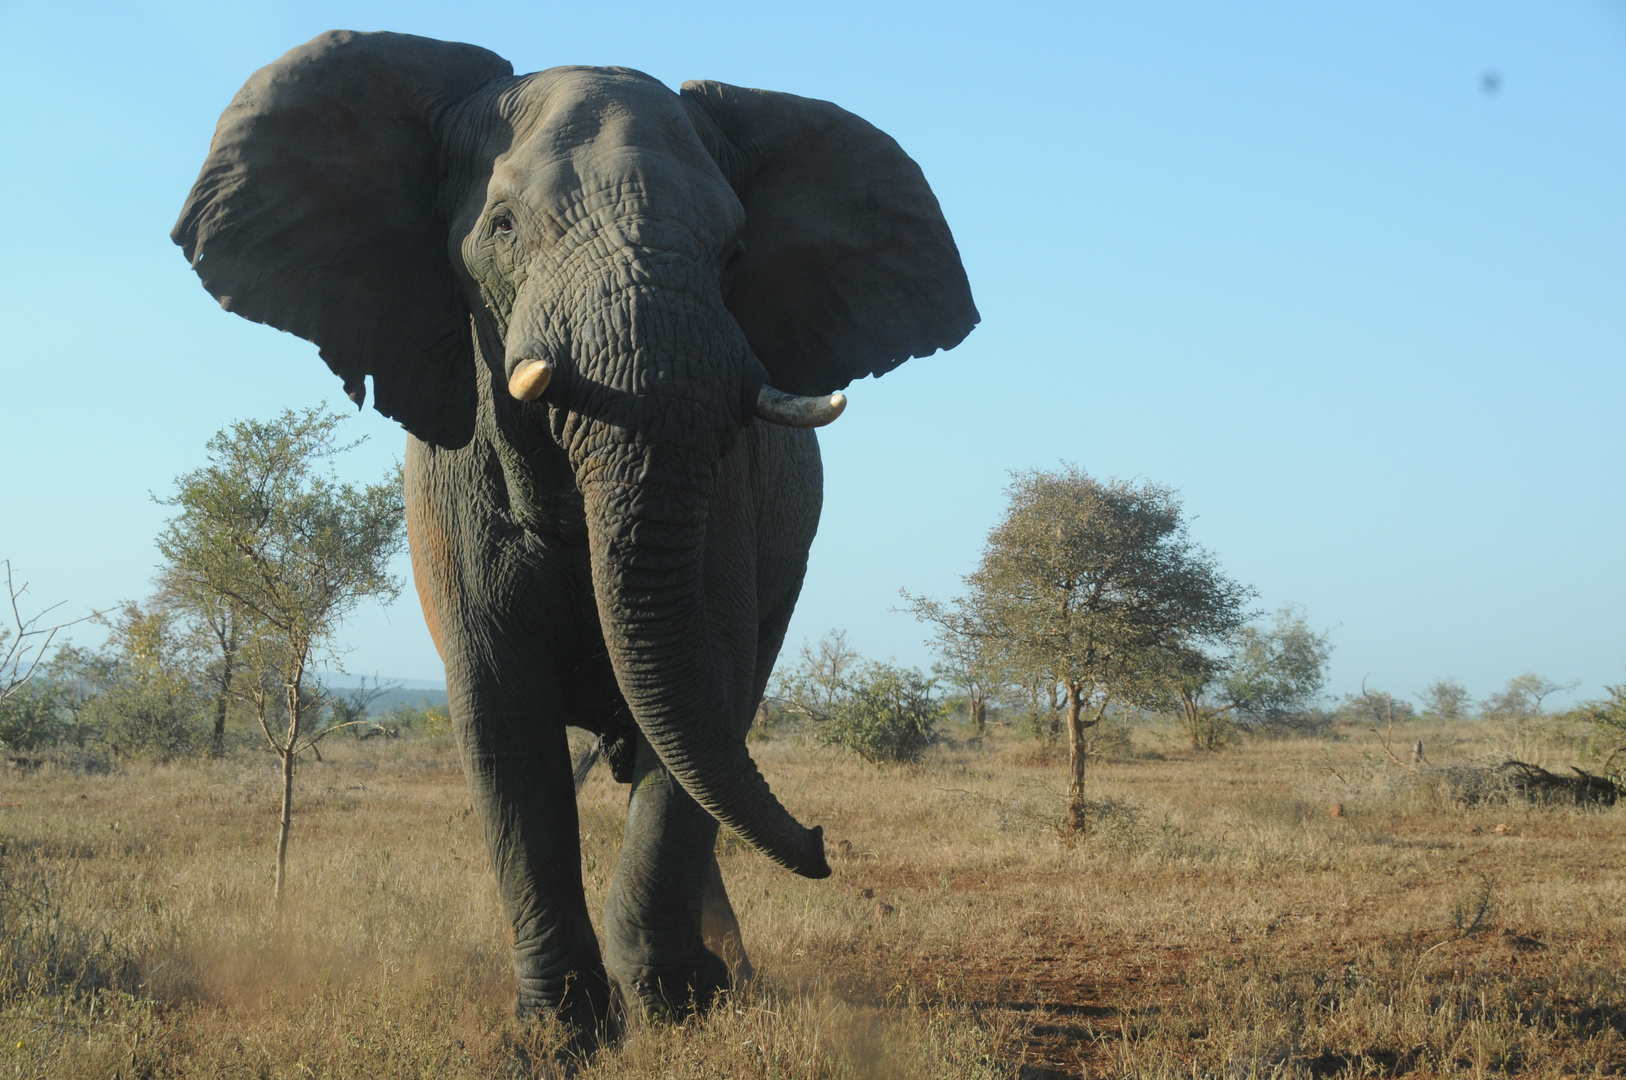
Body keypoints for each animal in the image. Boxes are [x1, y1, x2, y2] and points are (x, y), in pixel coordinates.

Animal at [171, 29, 969, 1040]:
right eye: (505, 227)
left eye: (735, 249)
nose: (825, 845)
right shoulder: (450, 489)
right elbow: (505, 723)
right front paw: (560, 1032)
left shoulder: (728, 490)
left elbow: (705, 684)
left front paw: (674, 1006)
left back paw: (727, 982)